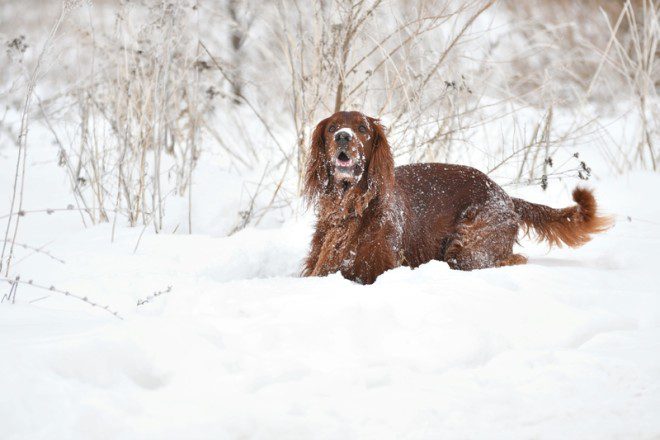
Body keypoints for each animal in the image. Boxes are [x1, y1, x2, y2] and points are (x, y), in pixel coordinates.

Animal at [302, 111, 612, 286]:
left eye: (363, 129)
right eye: (332, 128)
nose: (343, 137)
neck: (350, 204)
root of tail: (505, 196)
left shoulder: (379, 267)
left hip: (468, 248)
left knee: (512, 259)